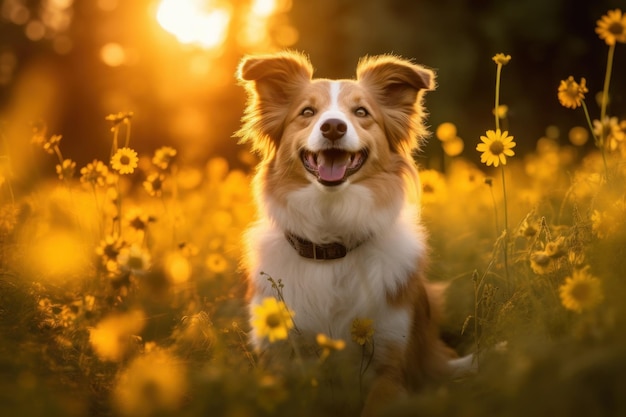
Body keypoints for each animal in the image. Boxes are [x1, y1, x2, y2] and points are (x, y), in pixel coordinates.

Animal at [236, 50, 456, 414]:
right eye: (307, 112)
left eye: (361, 112)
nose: (334, 127)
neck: (331, 244)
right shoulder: (281, 359)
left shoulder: (390, 359)